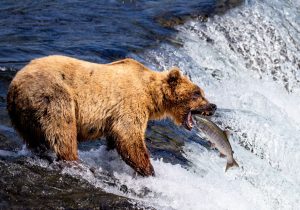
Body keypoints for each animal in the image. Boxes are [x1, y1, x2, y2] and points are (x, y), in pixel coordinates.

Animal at [6, 55, 216, 176]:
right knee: (62, 130)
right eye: (197, 93)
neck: (151, 96)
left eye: (202, 92)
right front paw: (149, 170)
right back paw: (75, 162)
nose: (213, 106)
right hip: (53, 95)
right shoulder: (130, 103)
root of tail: (15, 83)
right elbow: (129, 137)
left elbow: (116, 138)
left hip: (23, 114)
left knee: (33, 137)